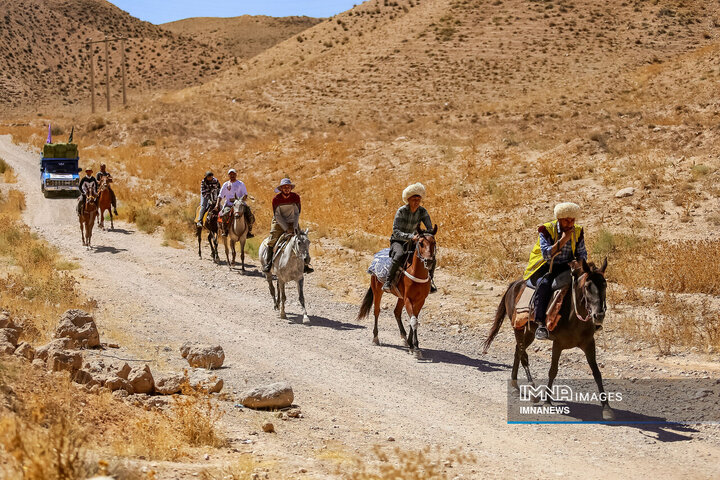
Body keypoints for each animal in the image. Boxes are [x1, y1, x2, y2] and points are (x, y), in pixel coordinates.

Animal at [356, 227, 436, 358]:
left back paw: (404, 338)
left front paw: (411, 345)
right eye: (421, 243)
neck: (416, 273)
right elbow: (414, 321)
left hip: (400, 297)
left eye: (434, 243)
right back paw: (375, 338)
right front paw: (415, 348)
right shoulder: (408, 299)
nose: (429, 261)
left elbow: (414, 319)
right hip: (377, 290)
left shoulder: (420, 300)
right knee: (377, 311)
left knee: (397, 312)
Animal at [480, 258, 612, 420]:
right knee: (523, 354)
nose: (598, 315)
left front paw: (606, 407)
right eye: (587, 286)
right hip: (518, 327)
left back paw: (515, 384)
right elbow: (553, 371)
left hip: (530, 332)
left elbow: (597, 373)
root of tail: (514, 285)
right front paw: (548, 402)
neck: (574, 316)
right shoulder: (558, 343)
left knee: (518, 351)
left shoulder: (589, 343)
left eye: (604, 285)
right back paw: (532, 389)